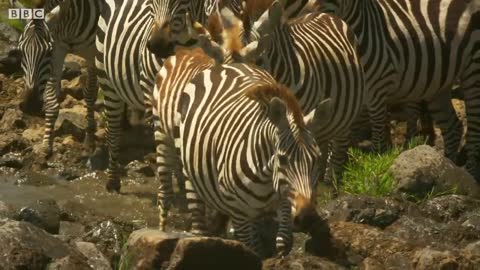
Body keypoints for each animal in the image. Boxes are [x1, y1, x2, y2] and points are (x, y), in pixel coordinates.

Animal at [17, 0, 102, 156]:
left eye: (48, 51)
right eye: (20, 52)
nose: (30, 106)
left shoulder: (92, 53)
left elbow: (90, 93)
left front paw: (89, 140)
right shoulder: (59, 47)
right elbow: (51, 100)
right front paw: (46, 144)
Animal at [178, 62, 332, 256]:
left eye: (317, 160)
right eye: (282, 160)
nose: (307, 218)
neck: (266, 177)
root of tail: (226, 65)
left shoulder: (285, 199)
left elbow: (283, 242)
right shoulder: (238, 210)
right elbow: (250, 249)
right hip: (189, 174)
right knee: (198, 216)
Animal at [318, 0, 480, 179]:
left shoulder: (378, 89)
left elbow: (378, 135)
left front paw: (376, 169)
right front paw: (330, 176)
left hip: (473, 69)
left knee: (474, 128)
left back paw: (471, 174)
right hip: (437, 82)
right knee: (452, 127)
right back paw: (448, 168)